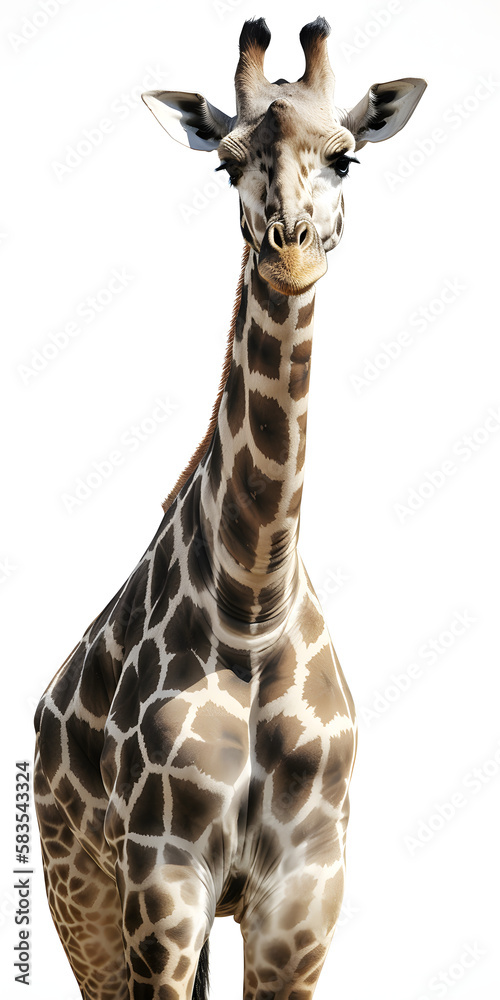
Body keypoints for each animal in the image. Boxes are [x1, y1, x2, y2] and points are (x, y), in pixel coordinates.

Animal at [34, 17, 426, 1000]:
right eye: (226, 161)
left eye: (346, 156)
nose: (290, 248)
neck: (252, 603)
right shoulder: (164, 872)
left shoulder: (306, 888)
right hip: (80, 896)